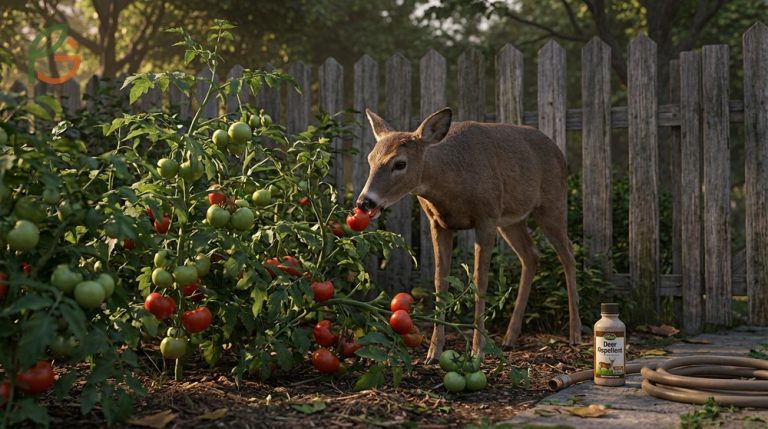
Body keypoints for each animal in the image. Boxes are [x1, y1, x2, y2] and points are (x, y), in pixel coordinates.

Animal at [356, 107, 582, 363]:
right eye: (370, 159)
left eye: (400, 163)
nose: (364, 202)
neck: (450, 183)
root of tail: (559, 152)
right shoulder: (438, 223)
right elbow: (440, 280)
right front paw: (433, 352)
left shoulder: (486, 217)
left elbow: (480, 280)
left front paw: (477, 350)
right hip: (511, 220)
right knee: (531, 255)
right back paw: (510, 338)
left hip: (552, 204)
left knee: (568, 254)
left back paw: (575, 334)